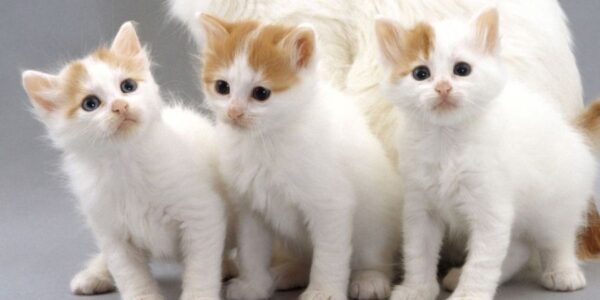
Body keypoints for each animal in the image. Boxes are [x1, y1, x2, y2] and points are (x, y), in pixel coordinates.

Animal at [22, 21, 229, 300]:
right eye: (90, 104)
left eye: (128, 86)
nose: (120, 106)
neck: (126, 163)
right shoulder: (112, 234)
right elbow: (130, 275)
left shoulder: (202, 214)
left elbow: (201, 268)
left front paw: (198, 295)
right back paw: (94, 275)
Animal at [198, 13, 404, 300]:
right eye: (222, 87)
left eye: (261, 93)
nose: (234, 112)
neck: (266, 141)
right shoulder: (250, 208)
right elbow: (251, 251)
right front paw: (252, 286)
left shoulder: (331, 204)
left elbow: (329, 255)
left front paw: (323, 291)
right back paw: (287, 272)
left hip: (377, 224)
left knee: (376, 257)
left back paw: (370, 279)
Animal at [376, 8, 596, 300]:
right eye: (420, 73)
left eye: (462, 70)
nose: (443, 88)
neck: (446, 141)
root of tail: (570, 132)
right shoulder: (420, 207)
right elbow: (418, 254)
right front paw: (416, 289)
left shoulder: (491, 208)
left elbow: (482, 261)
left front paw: (470, 293)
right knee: (519, 248)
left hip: (554, 204)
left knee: (558, 238)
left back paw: (563, 273)